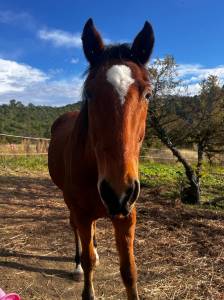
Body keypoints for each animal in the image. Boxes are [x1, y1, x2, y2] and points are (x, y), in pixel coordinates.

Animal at [48, 19, 154, 300]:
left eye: (148, 94)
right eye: (90, 93)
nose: (118, 192)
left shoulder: (127, 216)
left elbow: (129, 271)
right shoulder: (81, 211)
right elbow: (88, 261)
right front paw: (84, 272)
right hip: (72, 204)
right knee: (75, 230)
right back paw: (77, 264)